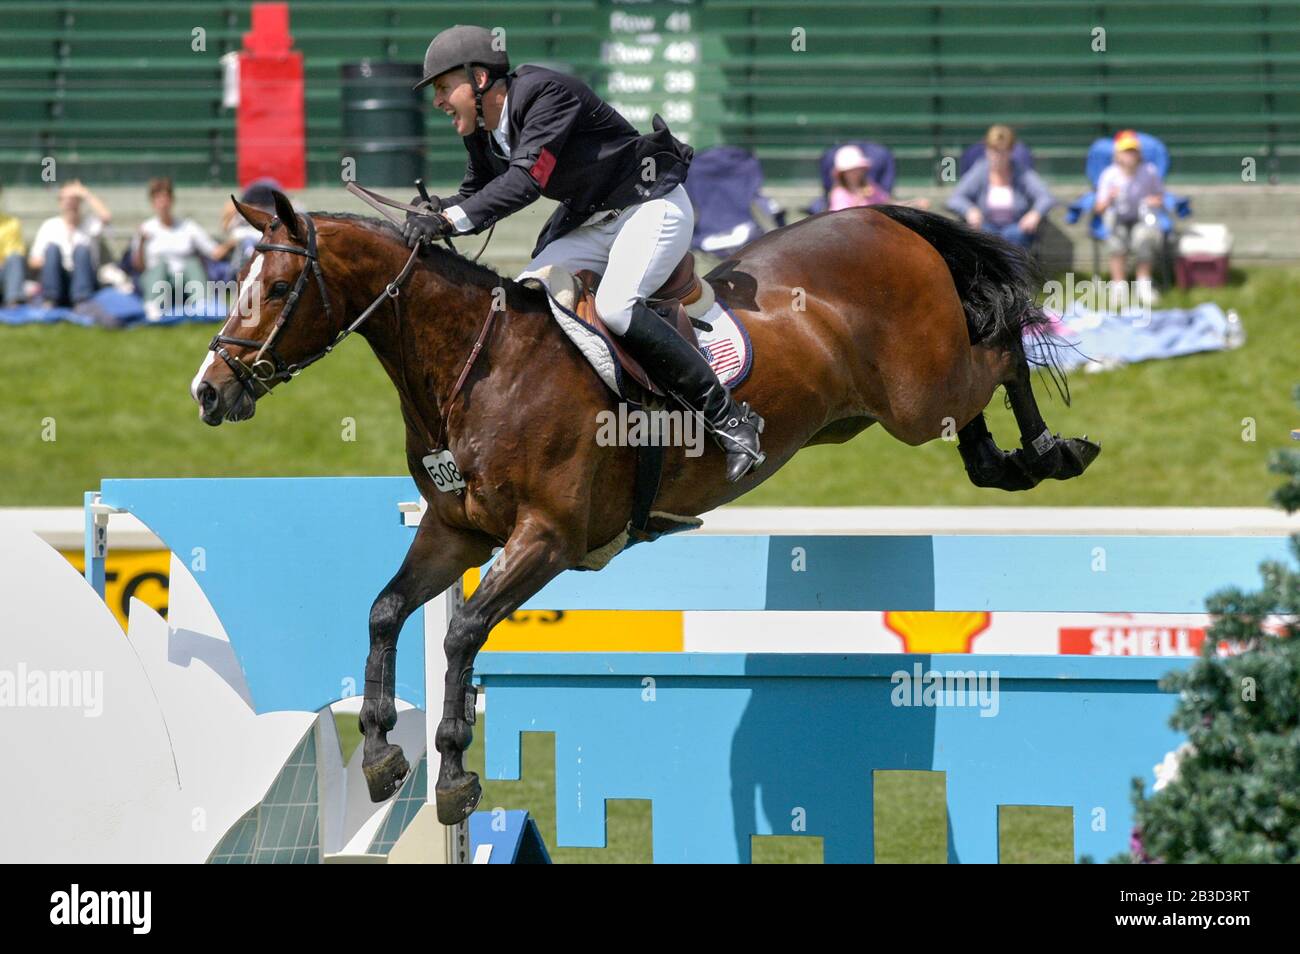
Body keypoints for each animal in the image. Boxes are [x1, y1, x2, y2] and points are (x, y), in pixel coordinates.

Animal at [188, 188, 1092, 831]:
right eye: (233, 285)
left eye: (277, 287)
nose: (209, 392)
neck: (477, 368)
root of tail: (880, 215)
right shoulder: (454, 533)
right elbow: (385, 611)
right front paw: (380, 752)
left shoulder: (547, 540)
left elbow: (461, 633)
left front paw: (453, 773)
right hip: (877, 410)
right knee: (976, 399)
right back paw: (1001, 461)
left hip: (917, 392)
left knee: (1003, 347)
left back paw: (1052, 450)